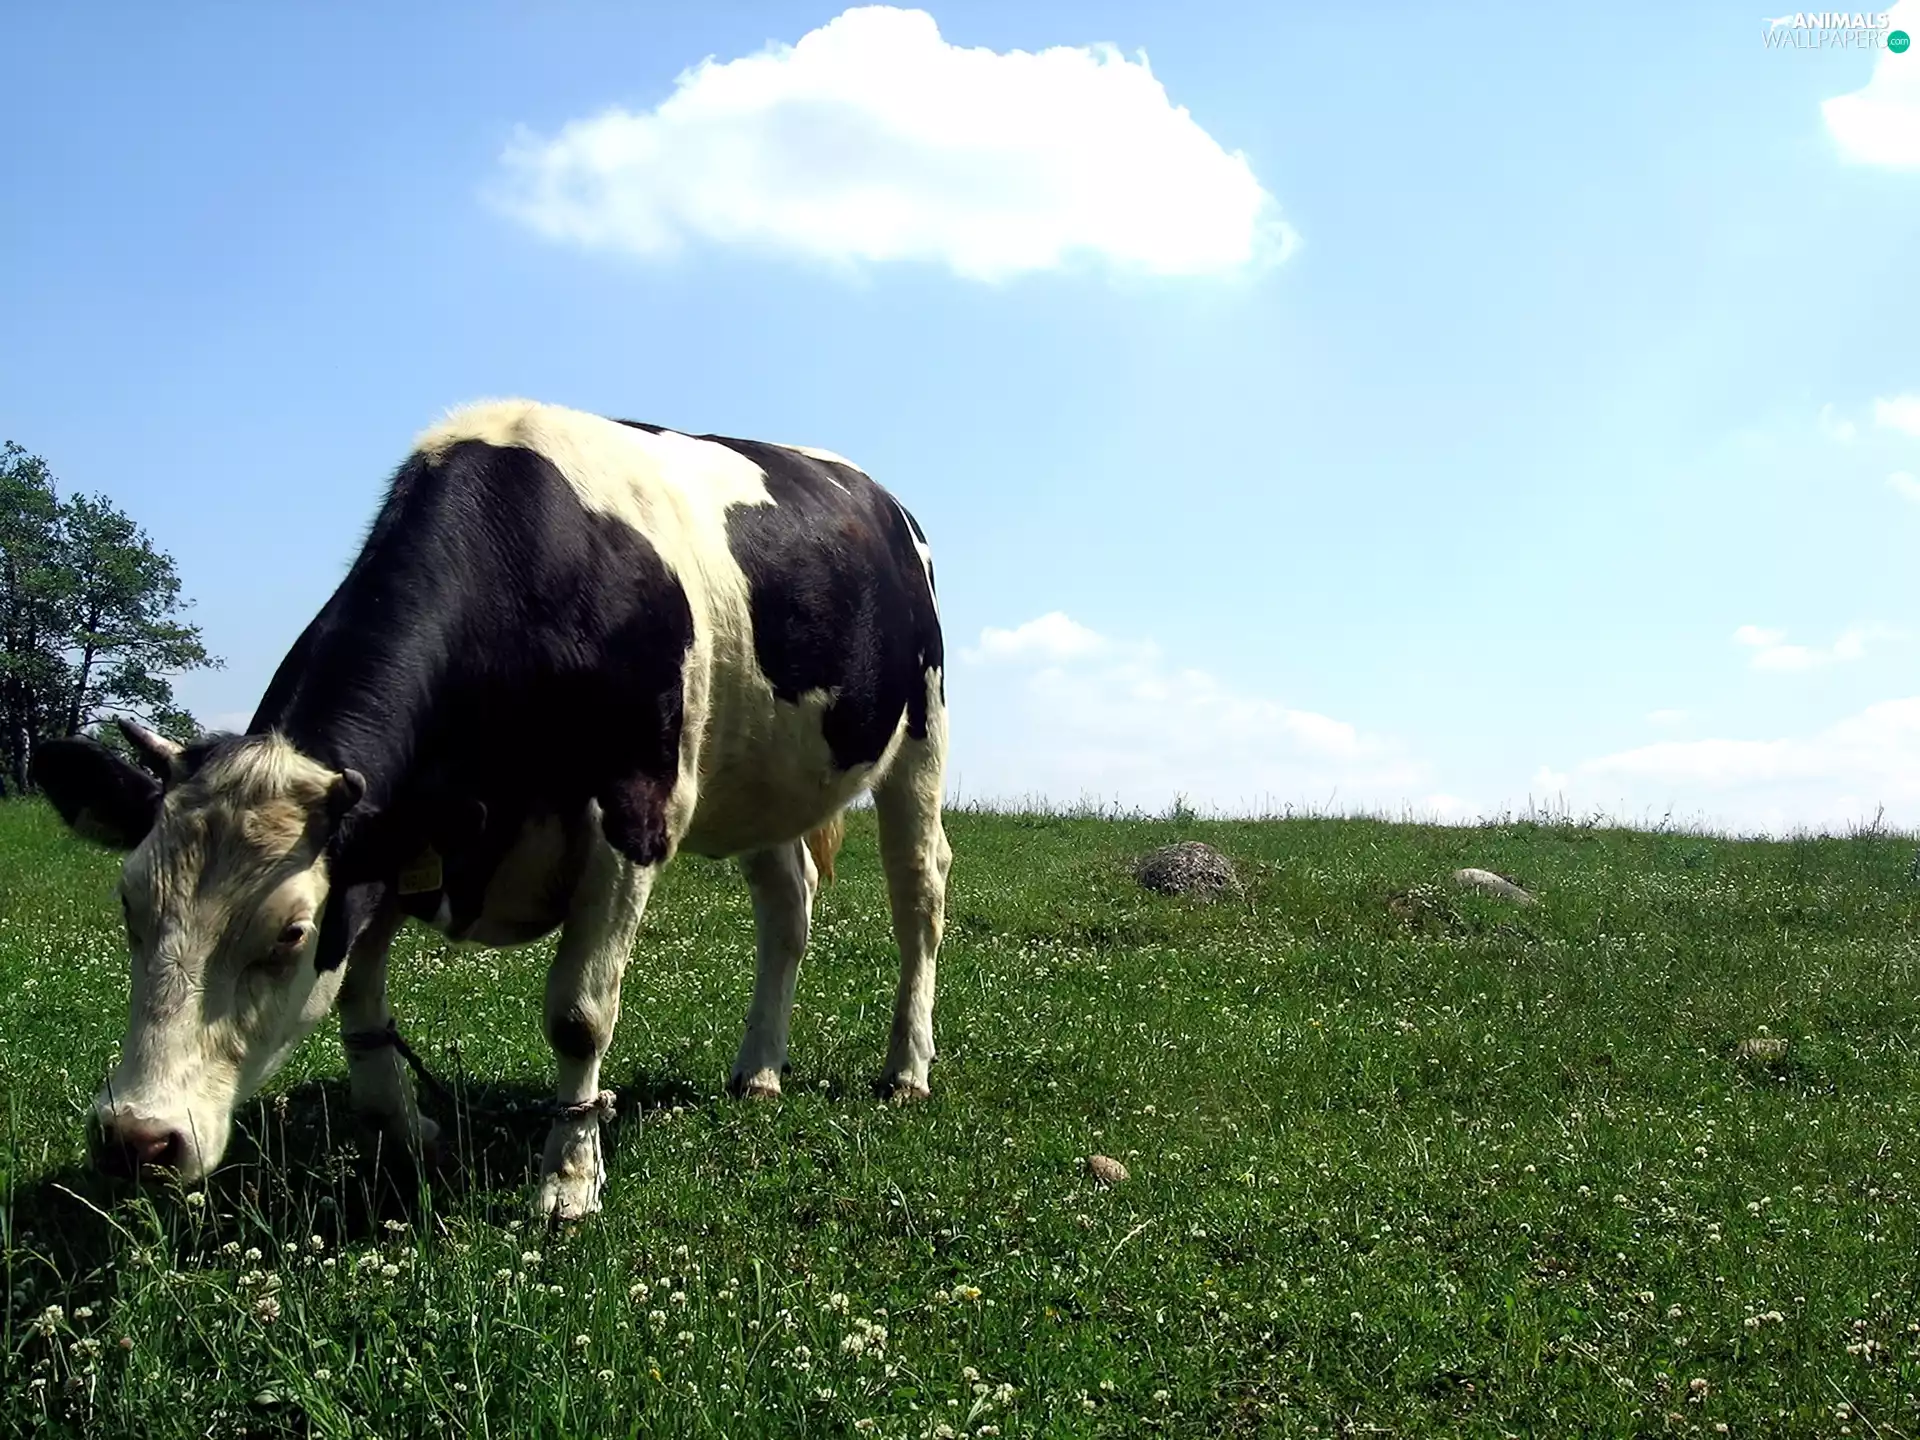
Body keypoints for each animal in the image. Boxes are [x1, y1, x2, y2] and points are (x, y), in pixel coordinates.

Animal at [31, 399, 952, 1221]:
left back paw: (907, 1069)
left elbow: (579, 1015)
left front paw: (569, 1180)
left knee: (919, 897)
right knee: (788, 906)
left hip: (921, 733)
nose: (135, 1138)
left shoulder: (634, 811)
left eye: (289, 933)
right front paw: (407, 1130)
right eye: (129, 905)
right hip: (763, 779)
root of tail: (880, 495)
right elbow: (359, 995)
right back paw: (758, 1069)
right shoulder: (403, 834)